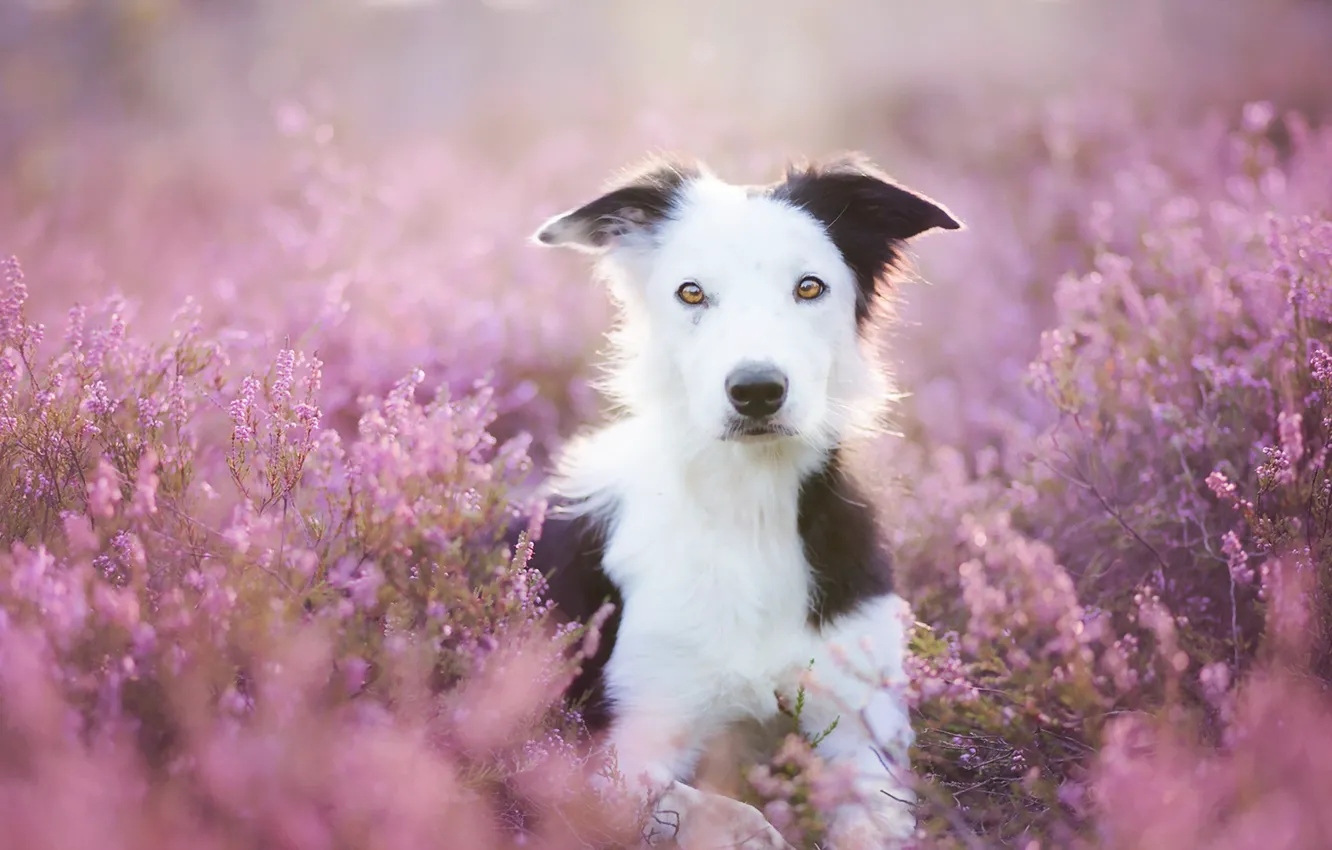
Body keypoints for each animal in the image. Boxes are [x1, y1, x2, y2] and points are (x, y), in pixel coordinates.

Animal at [519, 156, 959, 847]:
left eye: (809, 287)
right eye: (691, 293)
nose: (756, 390)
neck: (748, 509)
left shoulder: (867, 734)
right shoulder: (611, 753)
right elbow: (714, 810)